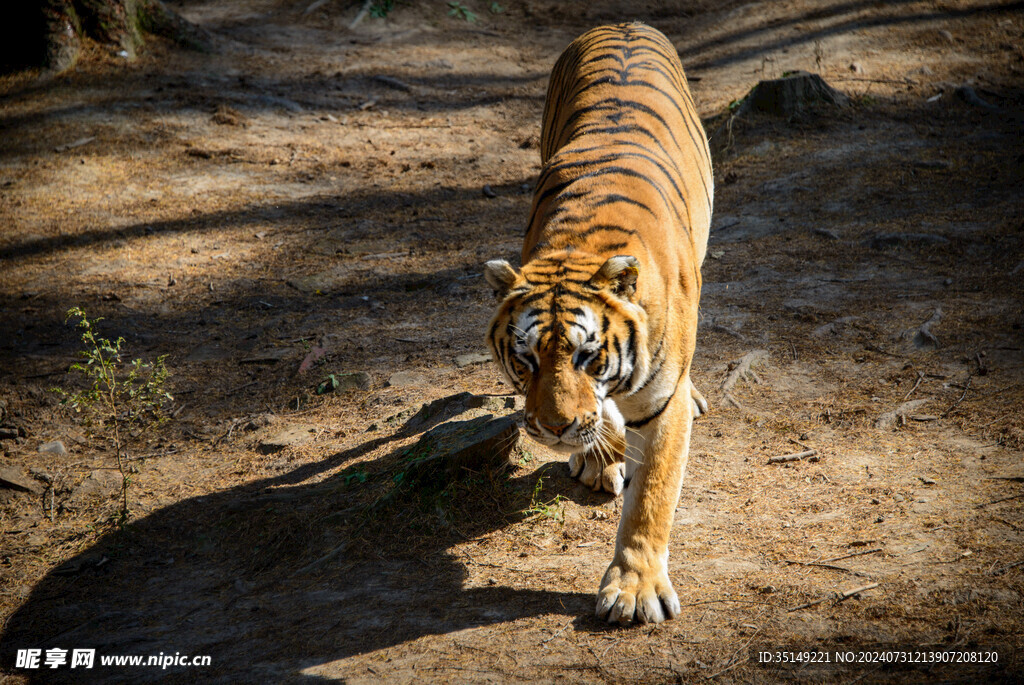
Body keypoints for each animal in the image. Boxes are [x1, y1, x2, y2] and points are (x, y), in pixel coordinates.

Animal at [481, 22, 712, 626]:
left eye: (588, 356)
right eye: (526, 360)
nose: (555, 429)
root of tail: (624, 24)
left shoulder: (660, 404)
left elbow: (652, 496)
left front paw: (635, 590)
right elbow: (605, 418)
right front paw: (597, 456)